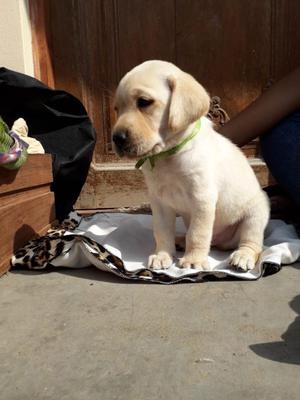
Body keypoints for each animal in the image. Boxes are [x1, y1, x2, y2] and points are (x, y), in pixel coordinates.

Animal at [112, 60, 270, 272]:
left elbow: (197, 234)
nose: (117, 138)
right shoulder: (159, 201)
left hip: (256, 214)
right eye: (116, 109)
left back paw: (243, 256)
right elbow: (162, 231)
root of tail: (221, 242)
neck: (168, 155)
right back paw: (179, 241)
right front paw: (163, 255)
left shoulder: (202, 198)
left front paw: (194, 259)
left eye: (144, 102)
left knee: (252, 242)